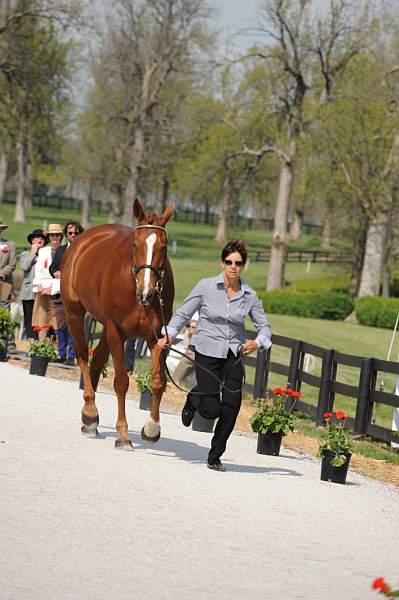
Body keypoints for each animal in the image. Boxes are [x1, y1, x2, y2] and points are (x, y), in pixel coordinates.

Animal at [61, 199, 174, 448]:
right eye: (134, 243)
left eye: (164, 246)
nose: (146, 292)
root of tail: (81, 241)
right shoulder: (116, 330)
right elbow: (121, 381)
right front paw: (123, 434)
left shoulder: (155, 336)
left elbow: (158, 381)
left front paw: (152, 428)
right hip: (75, 313)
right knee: (82, 356)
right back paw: (90, 411)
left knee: (95, 363)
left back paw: (89, 419)